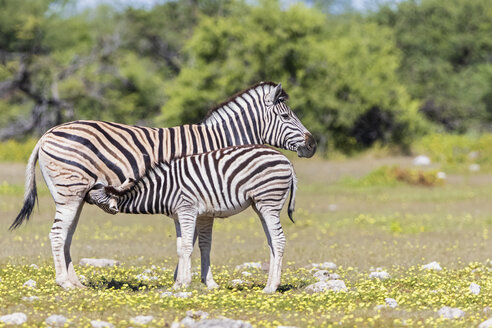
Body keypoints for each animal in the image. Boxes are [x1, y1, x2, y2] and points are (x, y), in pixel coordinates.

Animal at [100, 145, 296, 294]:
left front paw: (185, 283)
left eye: (95, 190)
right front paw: (178, 284)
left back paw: (271, 288)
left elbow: (187, 246)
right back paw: (269, 284)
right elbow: (181, 248)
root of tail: (286, 160)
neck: (164, 189)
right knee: (272, 242)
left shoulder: (187, 210)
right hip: (259, 205)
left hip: (269, 201)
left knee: (279, 240)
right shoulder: (179, 216)